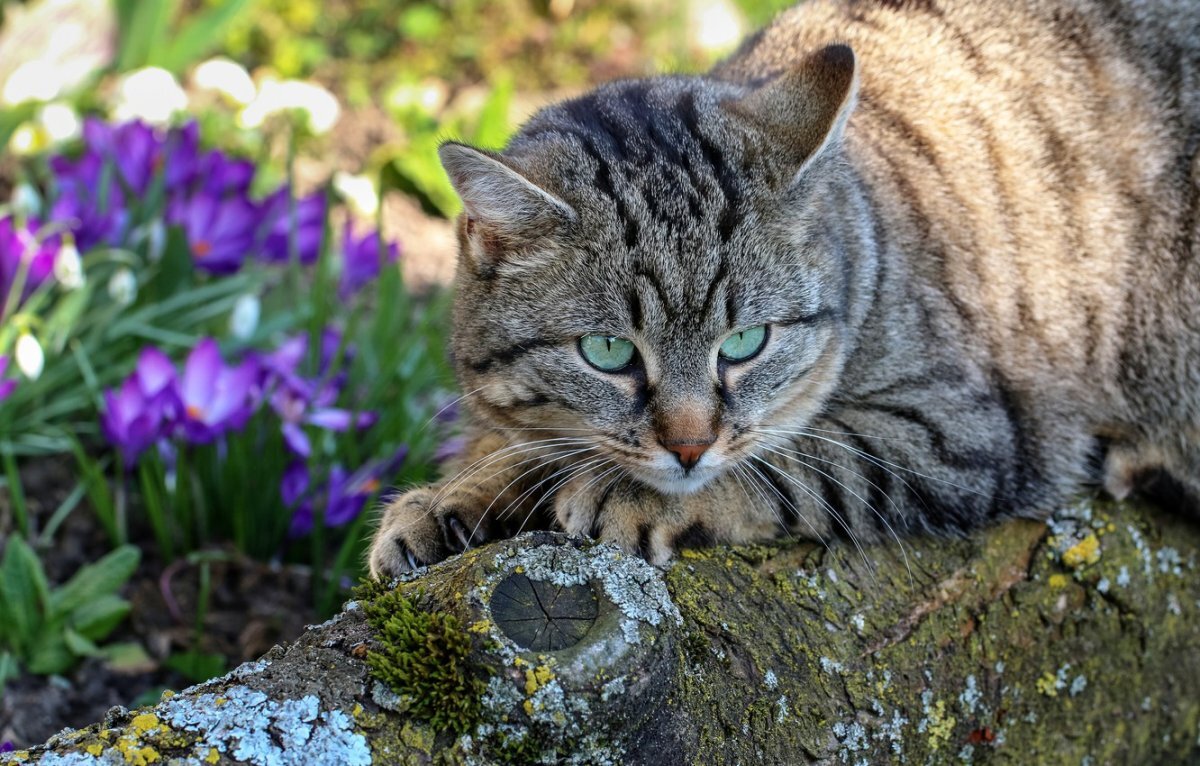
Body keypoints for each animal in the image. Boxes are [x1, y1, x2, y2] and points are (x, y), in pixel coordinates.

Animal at [364, 0, 1200, 578]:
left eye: (745, 342)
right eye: (607, 352)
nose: (689, 446)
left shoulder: (963, 431)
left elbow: (801, 459)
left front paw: (634, 493)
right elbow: (532, 440)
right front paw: (457, 495)